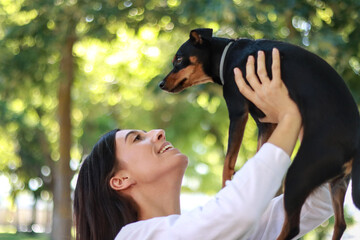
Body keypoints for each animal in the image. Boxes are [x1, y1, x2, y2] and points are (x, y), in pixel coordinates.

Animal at [160, 28, 360, 240]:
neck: (228, 56)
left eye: (179, 59)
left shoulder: (238, 112)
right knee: (340, 223)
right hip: (337, 183)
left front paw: (225, 188)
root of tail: (353, 148)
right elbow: (260, 151)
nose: (161, 84)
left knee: (294, 227)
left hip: (299, 174)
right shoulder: (266, 123)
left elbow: (228, 160)